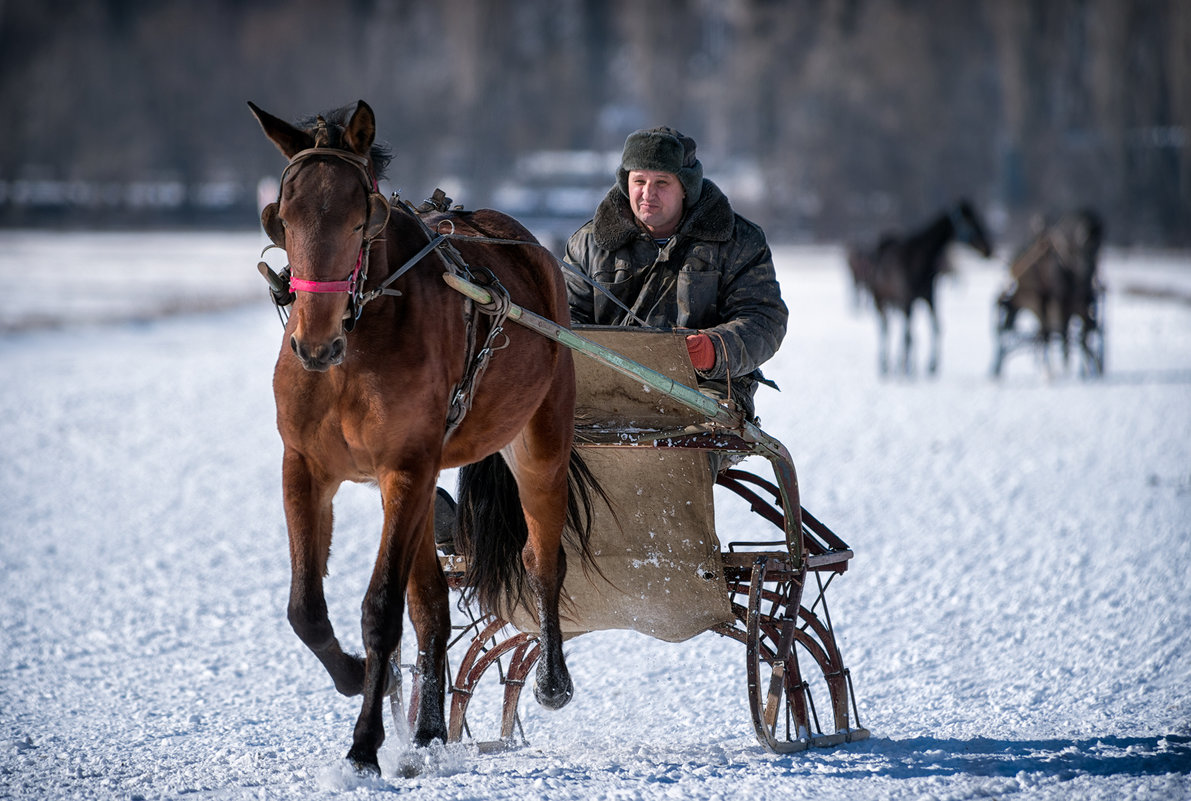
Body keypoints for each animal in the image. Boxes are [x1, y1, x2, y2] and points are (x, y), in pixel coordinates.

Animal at [252, 99, 605, 776]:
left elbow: (382, 608)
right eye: (282, 216)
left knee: (543, 558)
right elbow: (306, 607)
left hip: (539, 438)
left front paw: (364, 747)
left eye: (361, 218)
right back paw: (429, 731)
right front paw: (363, 678)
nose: (315, 343)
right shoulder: (306, 465)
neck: (356, 346)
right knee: (433, 608)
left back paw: (551, 679)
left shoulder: (407, 464)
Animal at [857, 198, 995, 376]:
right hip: (880, 302)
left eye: (977, 218)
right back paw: (886, 365)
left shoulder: (929, 299)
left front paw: (931, 366)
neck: (918, 259)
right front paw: (907, 369)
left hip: (897, 304)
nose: (988, 249)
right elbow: (909, 336)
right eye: (970, 221)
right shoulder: (908, 301)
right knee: (885, 330)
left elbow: (935, 328)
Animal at [986, 209, 1105, 378]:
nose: (1087, 270)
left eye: (1099, 246)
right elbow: (1058, 337)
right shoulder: (1054, 305)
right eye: (1083, 243)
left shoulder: (1073, 306)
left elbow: (1071, 337)